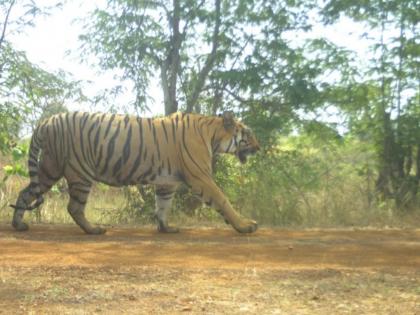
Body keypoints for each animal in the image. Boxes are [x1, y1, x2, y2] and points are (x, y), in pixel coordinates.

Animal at [11, 111, 260, 235]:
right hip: (80, 172)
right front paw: (245, 226)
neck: (212, 134)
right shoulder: (201, 177)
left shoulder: (167, 182)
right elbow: (223, 199)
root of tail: (46, 121)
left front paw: (166, 228)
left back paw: (18, 225)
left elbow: (163, 206)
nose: (259, 147)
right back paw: (94, 230)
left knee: (25, 193)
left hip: (49, 169)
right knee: (74, 207)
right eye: (248, 133)